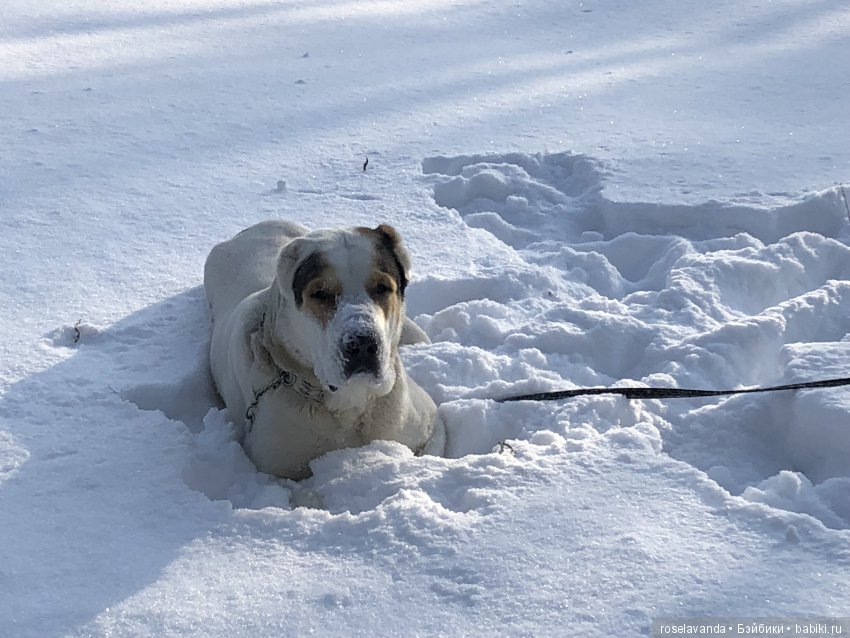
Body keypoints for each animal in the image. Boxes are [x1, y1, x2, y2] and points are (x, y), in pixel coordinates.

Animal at [204, 219, 446, 479]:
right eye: (320, 293)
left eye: (382, 288)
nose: (362, 343)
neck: (350, 403)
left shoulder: (432, 426)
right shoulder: (272, 470)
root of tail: (257, 226)